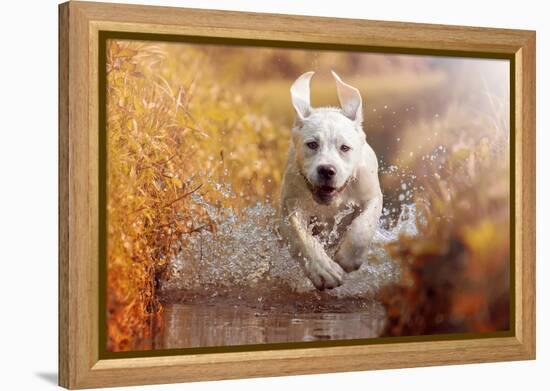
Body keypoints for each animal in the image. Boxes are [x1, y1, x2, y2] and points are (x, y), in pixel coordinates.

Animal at [280, 71, 384, 290]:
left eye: (345, 148)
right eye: (312, 144)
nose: (327, 170)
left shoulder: (372, 196)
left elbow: (363, 227)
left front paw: (348, 258)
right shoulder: (290, 207)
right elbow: (302, 238)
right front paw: (324, 270)